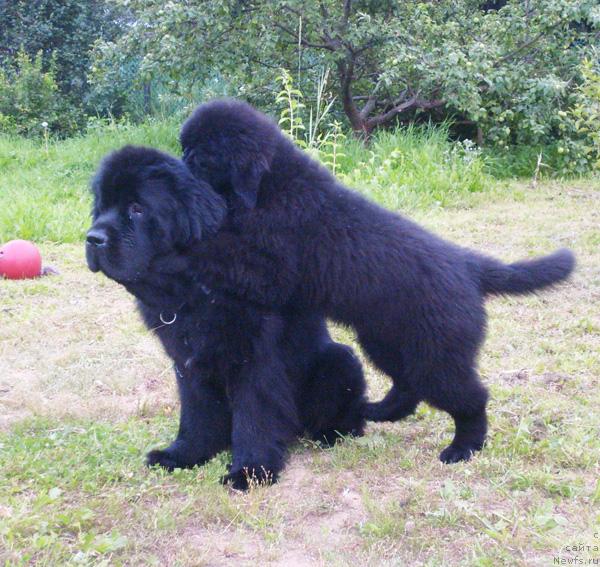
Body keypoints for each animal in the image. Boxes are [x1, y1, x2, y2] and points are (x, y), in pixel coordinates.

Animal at [84, 146, 366, 488]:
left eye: (137, 208)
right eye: (102, 207)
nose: (92, 238)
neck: (192, 291)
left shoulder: (255, 360)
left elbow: (253, 416)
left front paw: (250, 471)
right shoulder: (187, 363)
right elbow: (196, 413)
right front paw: (184, 454)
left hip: (341, 360)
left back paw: (330, 434)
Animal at [180, 100, 576, 466]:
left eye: (201, 159)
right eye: (185, 150)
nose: (177, 165)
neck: (273, 186)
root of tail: (469, 265)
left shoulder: (272, 269)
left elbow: (223, 247)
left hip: (437, 357)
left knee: (470, 399)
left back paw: (463, 448)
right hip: (386, 341)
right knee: (408, 386)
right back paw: (380, 411)